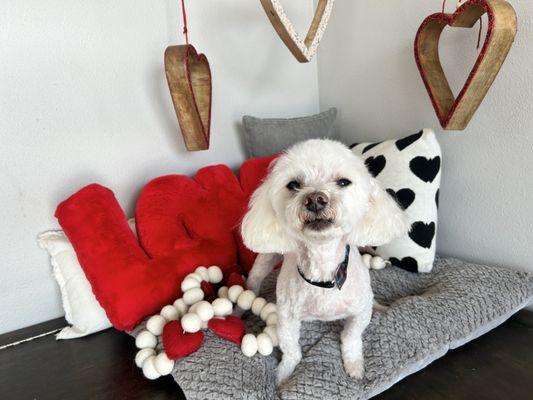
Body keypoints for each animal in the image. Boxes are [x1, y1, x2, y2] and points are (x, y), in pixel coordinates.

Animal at [241, 138, 408, 384]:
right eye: (293, 185)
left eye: (343, 182)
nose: (315, 199)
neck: (323, 266)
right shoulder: (286, 317)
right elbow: (291, 349)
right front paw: (284, 374)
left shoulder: (359, 312)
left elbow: (351, 337)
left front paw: (354, 365)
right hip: (267, 259)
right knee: (255, 278)